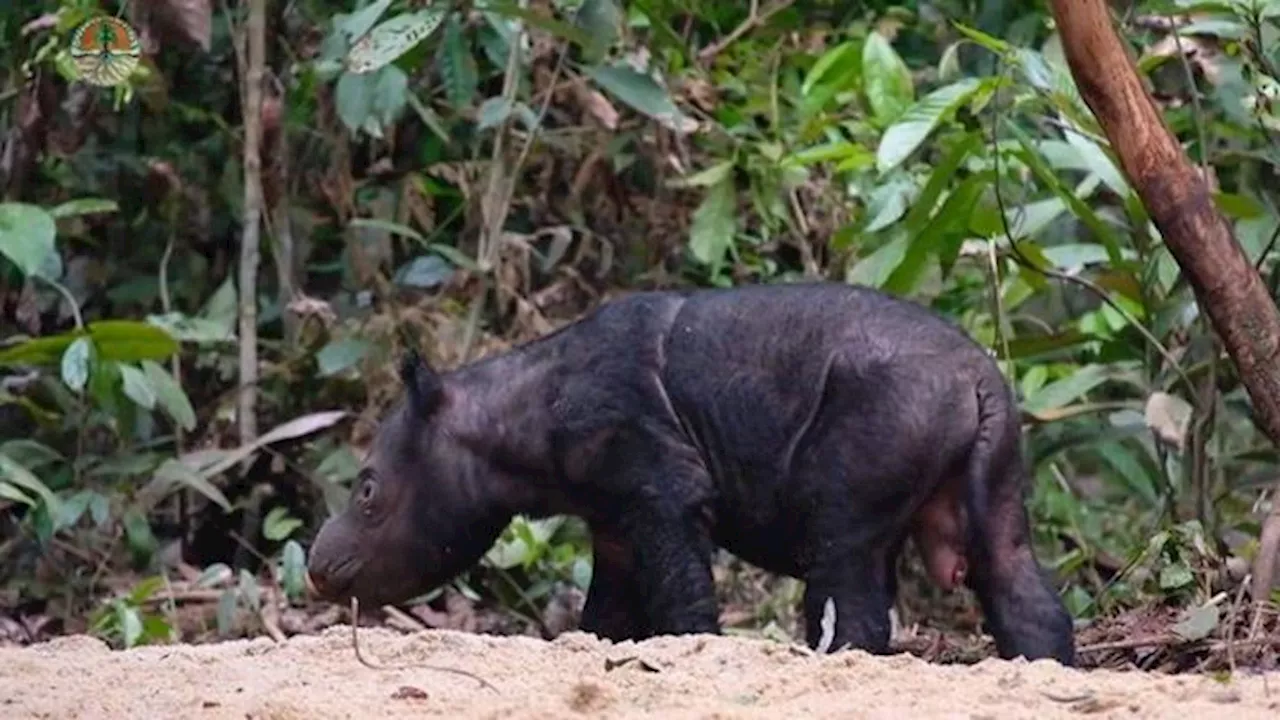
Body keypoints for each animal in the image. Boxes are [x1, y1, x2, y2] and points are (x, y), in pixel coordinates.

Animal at [309, 279, 1080, 661]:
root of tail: (977, 380)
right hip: (999, 477)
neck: (521, 417)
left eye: (368, 489)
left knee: (849, 595)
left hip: (855, 477)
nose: (317, 563)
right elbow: (607, 620)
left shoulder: (663, 488)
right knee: (1020, 588)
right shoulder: (616, 520)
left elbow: (683, 607)